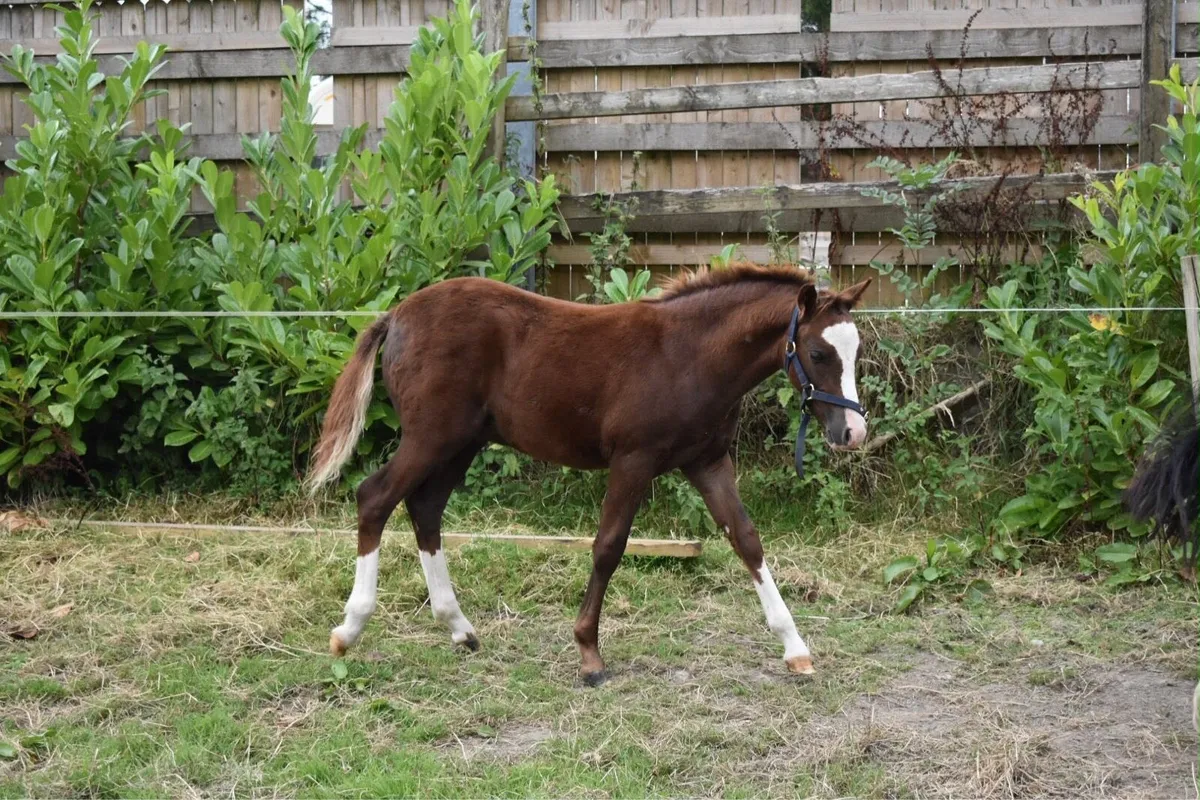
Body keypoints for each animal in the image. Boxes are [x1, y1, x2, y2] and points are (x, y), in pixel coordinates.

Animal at [306, 264, 872, 685]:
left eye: (856, 352)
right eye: (818, 352)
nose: (853, 432)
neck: (688, 355)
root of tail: (396, 314)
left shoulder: (707, 461)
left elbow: (746, 539)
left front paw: (795, 647)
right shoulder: (633, 460)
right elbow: (608, 546)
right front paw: (589, 656)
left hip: (460, 444)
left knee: (425, 509)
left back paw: (459, 628)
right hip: (431, 438)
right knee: (375, 497)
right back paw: (349, 630)